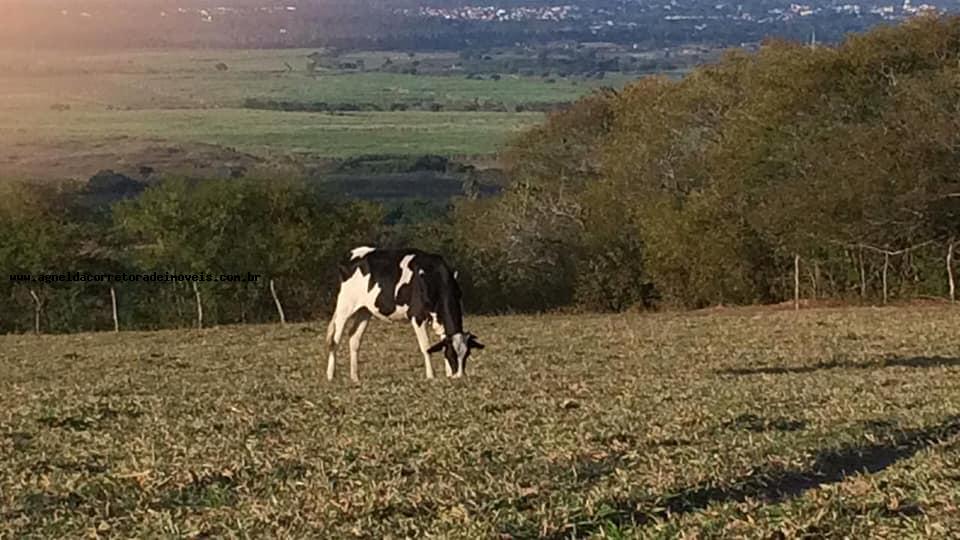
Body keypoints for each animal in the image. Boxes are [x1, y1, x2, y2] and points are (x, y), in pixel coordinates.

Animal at [324, 247, 488, 382]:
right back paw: (331, 375)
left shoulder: (440, 320)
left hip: (364, 310)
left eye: (466, 354)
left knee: (354, 338)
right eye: (452, 355)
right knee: (335, 339)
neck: (433, 277)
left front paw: (448, 374)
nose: (460, 376)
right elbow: (426, 346)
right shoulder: (417, 316)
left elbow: (442, 343)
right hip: (345, 307)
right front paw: (431, 375)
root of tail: (351, 255)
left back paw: (355, 377)